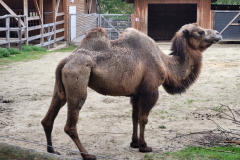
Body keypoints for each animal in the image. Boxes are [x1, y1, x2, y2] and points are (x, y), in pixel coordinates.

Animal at [40, 23, 221, 159]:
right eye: (200, 32)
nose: (218, 33)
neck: (165, 63)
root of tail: (65, 60)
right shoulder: (150, 89)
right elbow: (143, 118)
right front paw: (144, 146)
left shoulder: (137, 92)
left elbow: (134, 116)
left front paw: (134, 143)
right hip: (78, 79)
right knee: (70, 124)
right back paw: (87, 155)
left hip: (62, 85)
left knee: (49, 116)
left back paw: (52, 151)